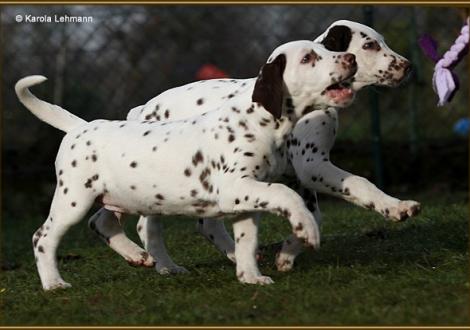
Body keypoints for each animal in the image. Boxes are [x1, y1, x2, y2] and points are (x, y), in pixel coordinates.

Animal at [16, 40, 358, 288]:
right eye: (308, 58)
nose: (351, 58)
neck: (255, 121)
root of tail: (81, 127)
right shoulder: (234, 187)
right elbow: (286, 194)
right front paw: (306, 228)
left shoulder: (246, 199)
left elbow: (247, 241)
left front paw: (250, 277)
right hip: (73, 200)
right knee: (43, 238)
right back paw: (54, 283)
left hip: (122, 197)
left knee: (106, 224)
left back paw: (142, 257)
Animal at [87, 19, 418, 274]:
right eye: (370, 45)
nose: (409, 67)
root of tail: (141, 110)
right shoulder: (312, 166)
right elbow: (360, 185)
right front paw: (395, 207)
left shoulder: (297, 176)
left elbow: (314, 216)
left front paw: (288, 252)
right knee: (147, 227)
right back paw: (166, 265)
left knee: (107, 220)